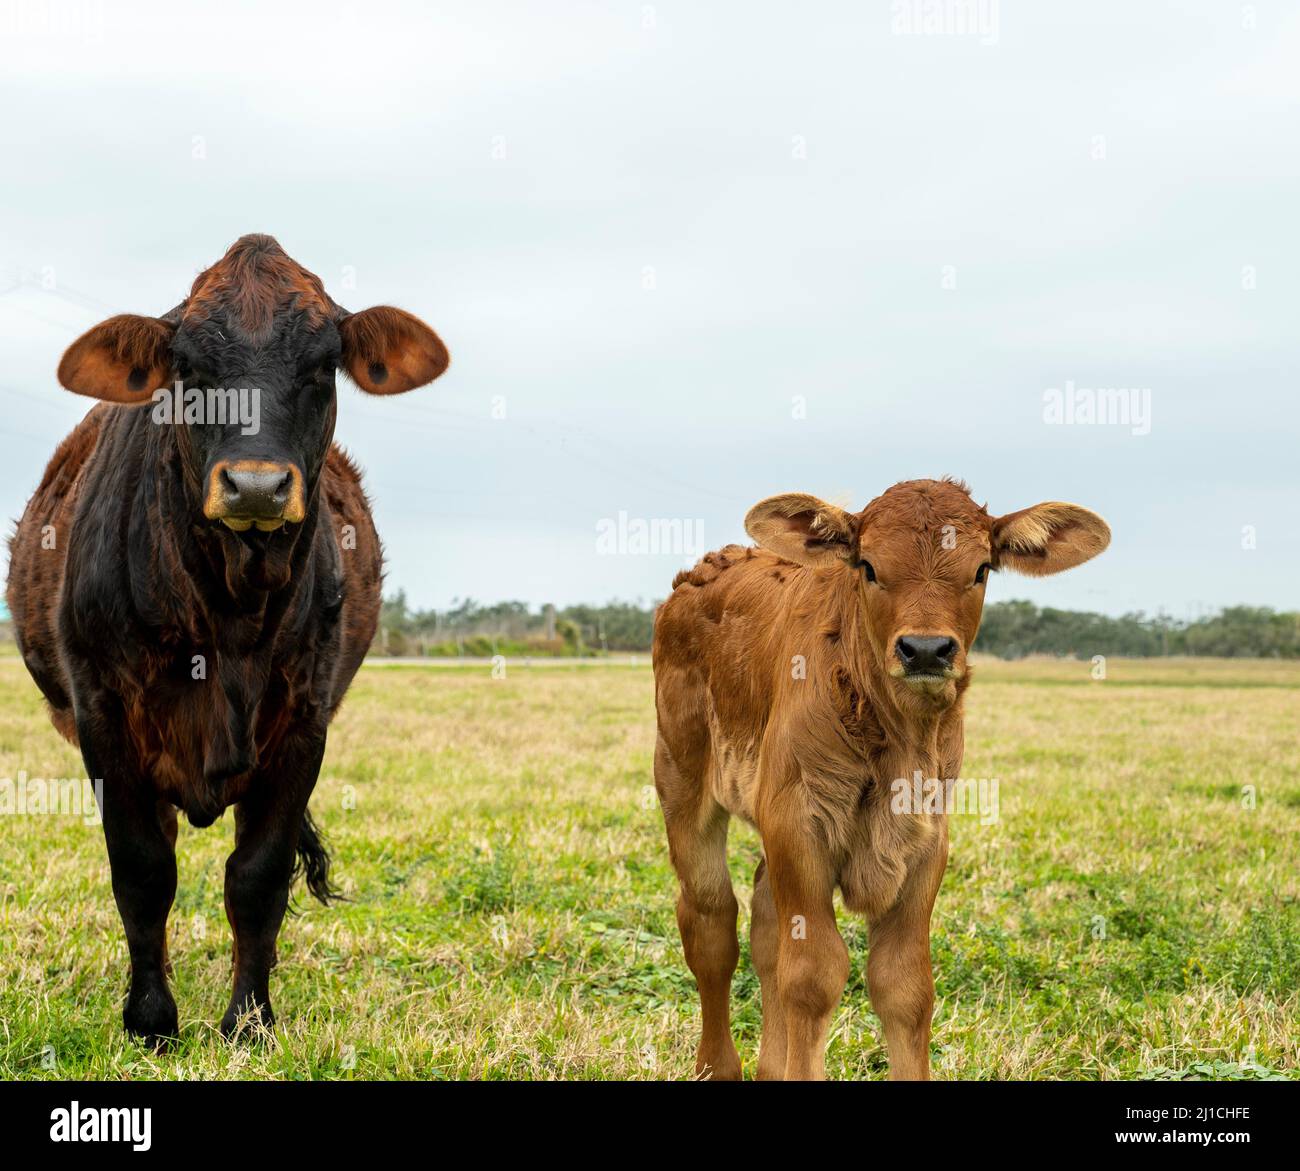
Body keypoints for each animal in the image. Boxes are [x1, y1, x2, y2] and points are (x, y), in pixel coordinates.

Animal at [5, 234, 449, 1043]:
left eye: (322, 365)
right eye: (190, 369)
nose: (256, 486)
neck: (229, 614)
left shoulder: (303, 725)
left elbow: (257, 876)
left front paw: (248, 1019)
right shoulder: (103, 719)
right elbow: (143, 870)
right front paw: (151, 1019)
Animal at [651, 478, 1110, 1080]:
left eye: (982, 569)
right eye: (868, 566)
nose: (926, 650)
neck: (899, 745)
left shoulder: (927, 841)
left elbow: (904, 986)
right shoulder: (799, 823)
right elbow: (813, 976)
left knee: (765, 924)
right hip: (682, 779)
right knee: (711, 922)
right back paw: (717, 1065)